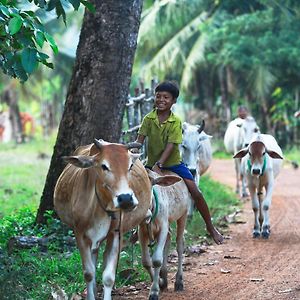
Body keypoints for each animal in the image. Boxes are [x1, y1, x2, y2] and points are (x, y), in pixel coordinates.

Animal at [54, 140, 178, 300]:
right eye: (103, 166)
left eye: (130, 165)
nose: (125, 199)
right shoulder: (80, 234)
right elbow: (88, 273)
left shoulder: (115, 233)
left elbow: (108, 277)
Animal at [139, 169, 192, 300]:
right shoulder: (141, 231)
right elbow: (146, 261)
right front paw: (160, 282)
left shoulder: (162, 227)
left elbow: (157, 260)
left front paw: (154, 291)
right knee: (169, 238)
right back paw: (164, 276)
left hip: (183, 215)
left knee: (179, 244)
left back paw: (179, 281)